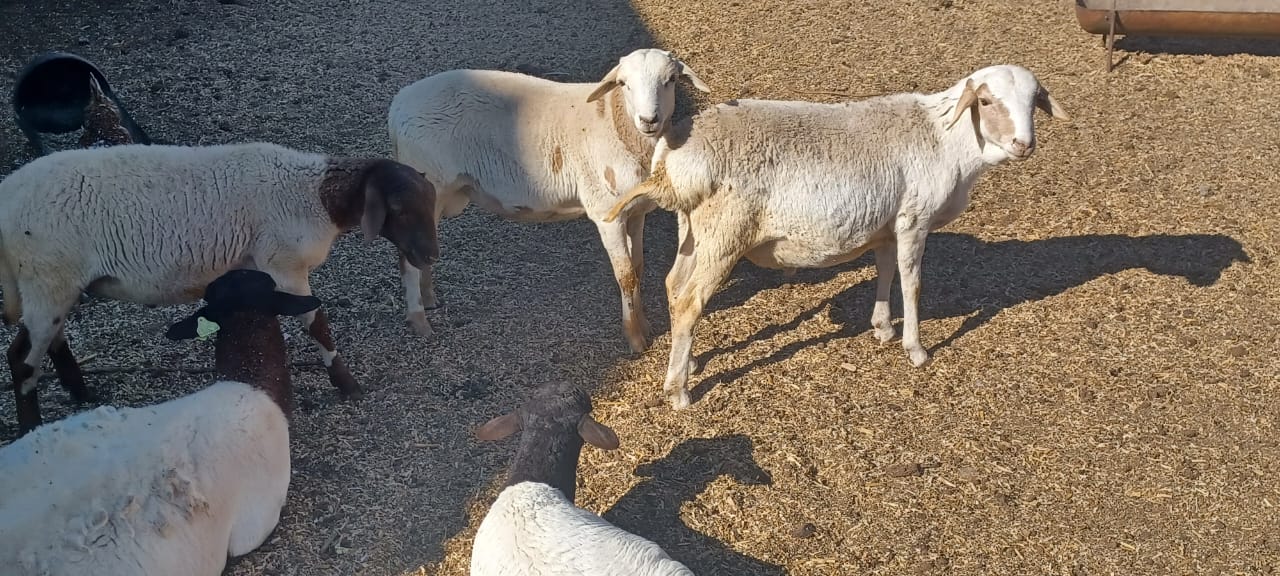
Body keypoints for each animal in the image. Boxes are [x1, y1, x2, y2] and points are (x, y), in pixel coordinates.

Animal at [0, 141, 439, 433]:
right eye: (398, 210)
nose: (430, 255)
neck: (313, 197)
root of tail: (6, 200)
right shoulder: (285, 265)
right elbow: (317, 325)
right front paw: (348, 385)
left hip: (56, 283)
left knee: (52, 341)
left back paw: (82, 394)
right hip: (46, 276)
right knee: (21, 359)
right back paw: (30, 429)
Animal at [388, 48, 711, 350]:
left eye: (670, 80)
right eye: (624, 84)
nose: (648, 120)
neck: (615, 124)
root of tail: (397, 106)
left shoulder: (636, 212)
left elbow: (638, 267)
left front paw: (643, 325)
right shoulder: (607, 213)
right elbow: (626, 275)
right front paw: (634, 338)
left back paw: (429, 299)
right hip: (429, 185)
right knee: (406, 257)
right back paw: (419, 320)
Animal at [604, 64, 1070, 409]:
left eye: (1034, 103)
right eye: (987, 102)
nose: (1023, 144)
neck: (946, 140)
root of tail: (670, 162)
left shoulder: (887, 225)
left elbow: (885, 270)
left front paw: (882, 327)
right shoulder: (914, 219)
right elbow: (912, 283)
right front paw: (915, 349)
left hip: (694, 229)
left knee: (673, 286)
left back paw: (689, 362)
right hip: (725, 231)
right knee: (690, 301)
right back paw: (678, 391)